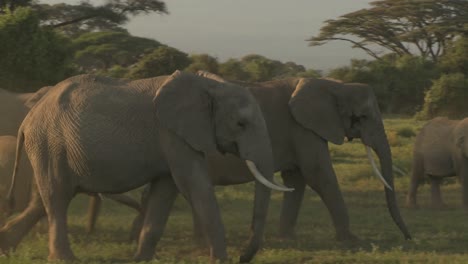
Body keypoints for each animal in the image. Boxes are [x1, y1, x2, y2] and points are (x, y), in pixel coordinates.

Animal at [4, 70, 288, 262]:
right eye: (241, 124)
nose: (243, 257)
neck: (208, 84)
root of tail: (27, 119)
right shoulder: (171, 133)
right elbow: (195, 186)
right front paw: (221, 261)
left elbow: (165, 191)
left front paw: (141, 260)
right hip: (49, 144)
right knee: (57, 197)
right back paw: (63, 259)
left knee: (45, 201)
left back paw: (5, 244)